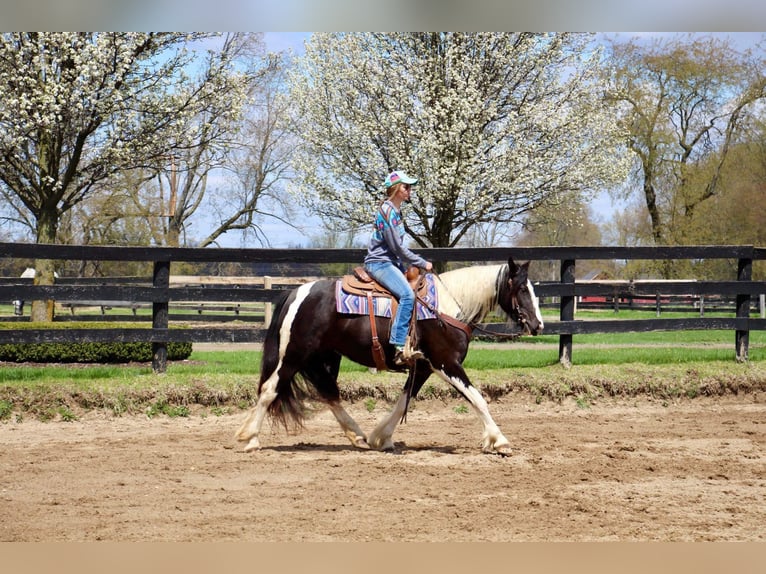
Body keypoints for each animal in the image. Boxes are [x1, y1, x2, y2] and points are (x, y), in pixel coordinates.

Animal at [237, 256, 544, 460]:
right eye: (522, 289)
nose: (538, 325)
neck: (447, 307)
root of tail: (296, 292)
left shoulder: (423, 367)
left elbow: (402, 402)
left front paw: (381, 437)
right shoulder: (446, 363)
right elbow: (477, 398)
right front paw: (499, 440)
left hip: (324, 357)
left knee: (328, 393)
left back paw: (358, 435)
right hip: (293, 355)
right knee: (270, 389)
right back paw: (250, 438)